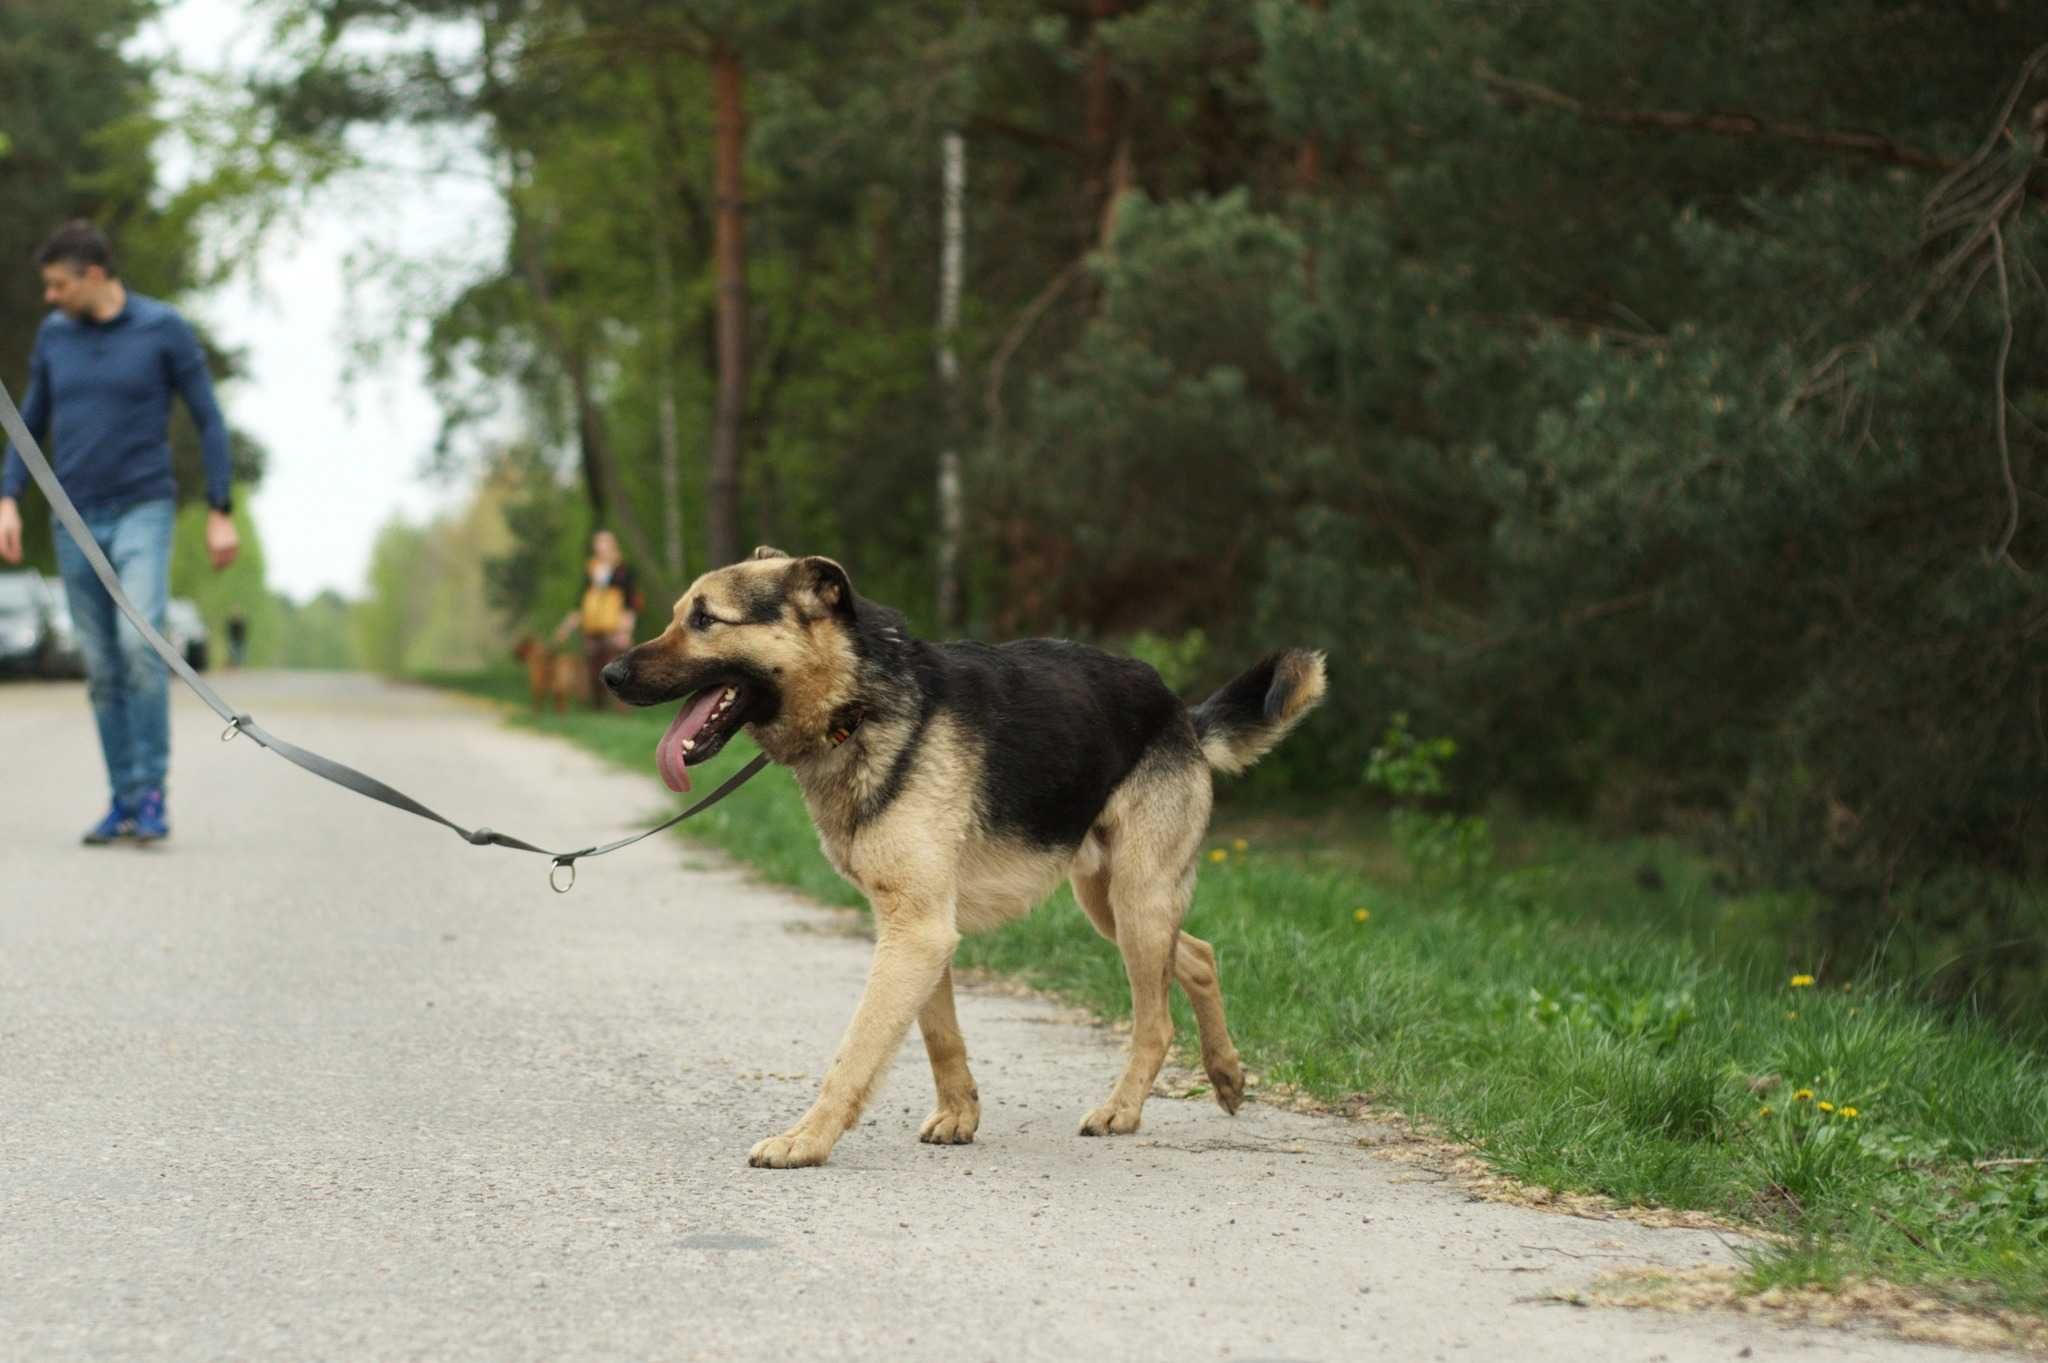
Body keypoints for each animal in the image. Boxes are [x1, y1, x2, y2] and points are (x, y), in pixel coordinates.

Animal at [598, 548, 1327, 1162]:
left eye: (703, 619)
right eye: (677, 614)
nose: (608, 673)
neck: (857, 706)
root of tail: (1180, 711)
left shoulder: (916, 930)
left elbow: (857, 1048)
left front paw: (807, 1138)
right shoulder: (915, 930)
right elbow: (939, 1035)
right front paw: (960, 1116)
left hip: (1136, 901)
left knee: (1155, 1020)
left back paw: (1122, 1109)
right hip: (1110, 902)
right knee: (1199, 956)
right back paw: (1227, 1076)